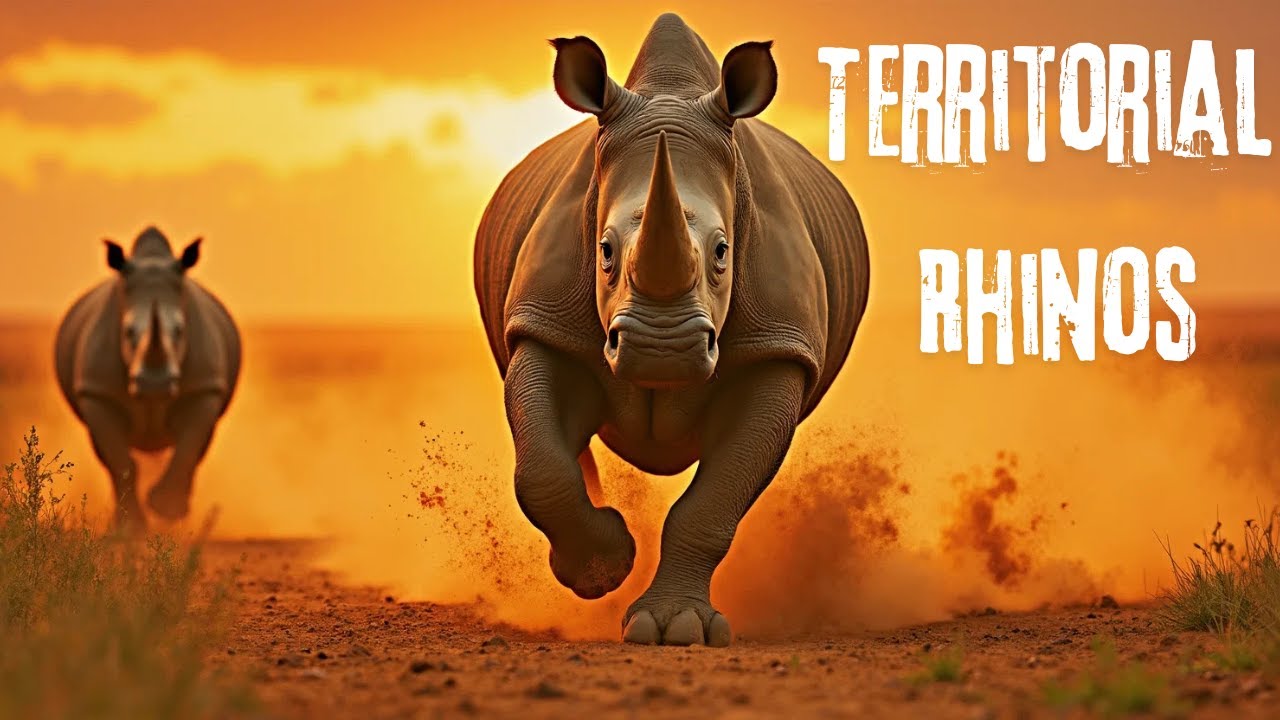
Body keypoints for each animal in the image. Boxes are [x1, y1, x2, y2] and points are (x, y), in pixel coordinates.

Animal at [55, 227, 241, 531]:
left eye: (179, 331)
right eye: (128, 332)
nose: (156, 384)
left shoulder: (205, 388)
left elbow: (188, 445)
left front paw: (166, 510)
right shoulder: (96, 392)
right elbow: (121, 462)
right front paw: (130, 529)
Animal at [474, 14, 869, 646]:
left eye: (724, 252)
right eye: (604, 251)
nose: (664, 351)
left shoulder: (777, 347)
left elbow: (714, 502)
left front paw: (674, 630)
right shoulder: (542, 323)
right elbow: (539, 467)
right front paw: (601, 570)